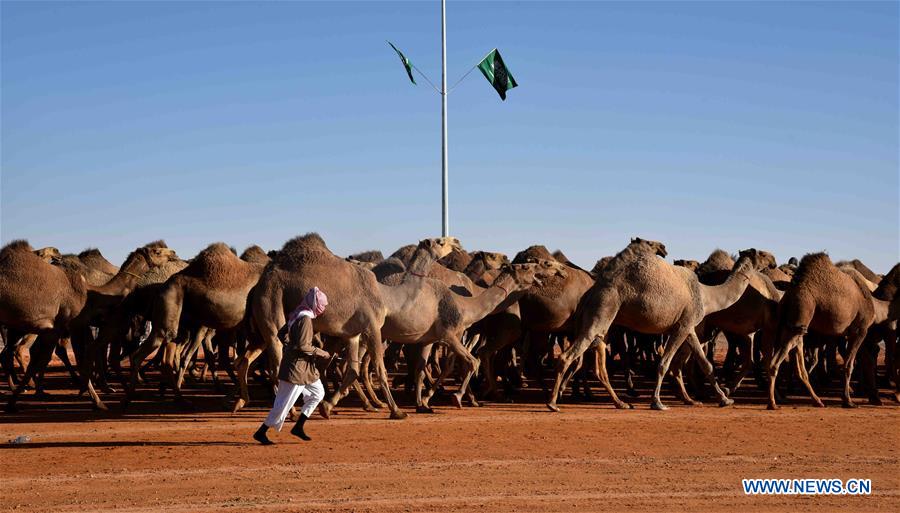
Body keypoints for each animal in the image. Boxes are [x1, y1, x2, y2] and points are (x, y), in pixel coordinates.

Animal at [547, 242, 759, 412]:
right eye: (759, 257)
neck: (707, 296)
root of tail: (591, 292)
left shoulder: (689, 327)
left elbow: (705, 364)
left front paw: (723, 399)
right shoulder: (681, 326)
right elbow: (664, 363)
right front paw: (657, 402)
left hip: (602, 320)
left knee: (598, 364)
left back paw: (620, 403)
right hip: (604, 306)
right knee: (569, 355)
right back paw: (553, 403)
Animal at [768, 253, 876, 409]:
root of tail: (787, 296)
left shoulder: (845, 334)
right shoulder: (860, 330)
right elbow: (849, 365)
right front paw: (848, 400)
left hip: (792, 325)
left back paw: (815, 400)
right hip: (803, 311)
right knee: (775, 362)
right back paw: (773, 402)